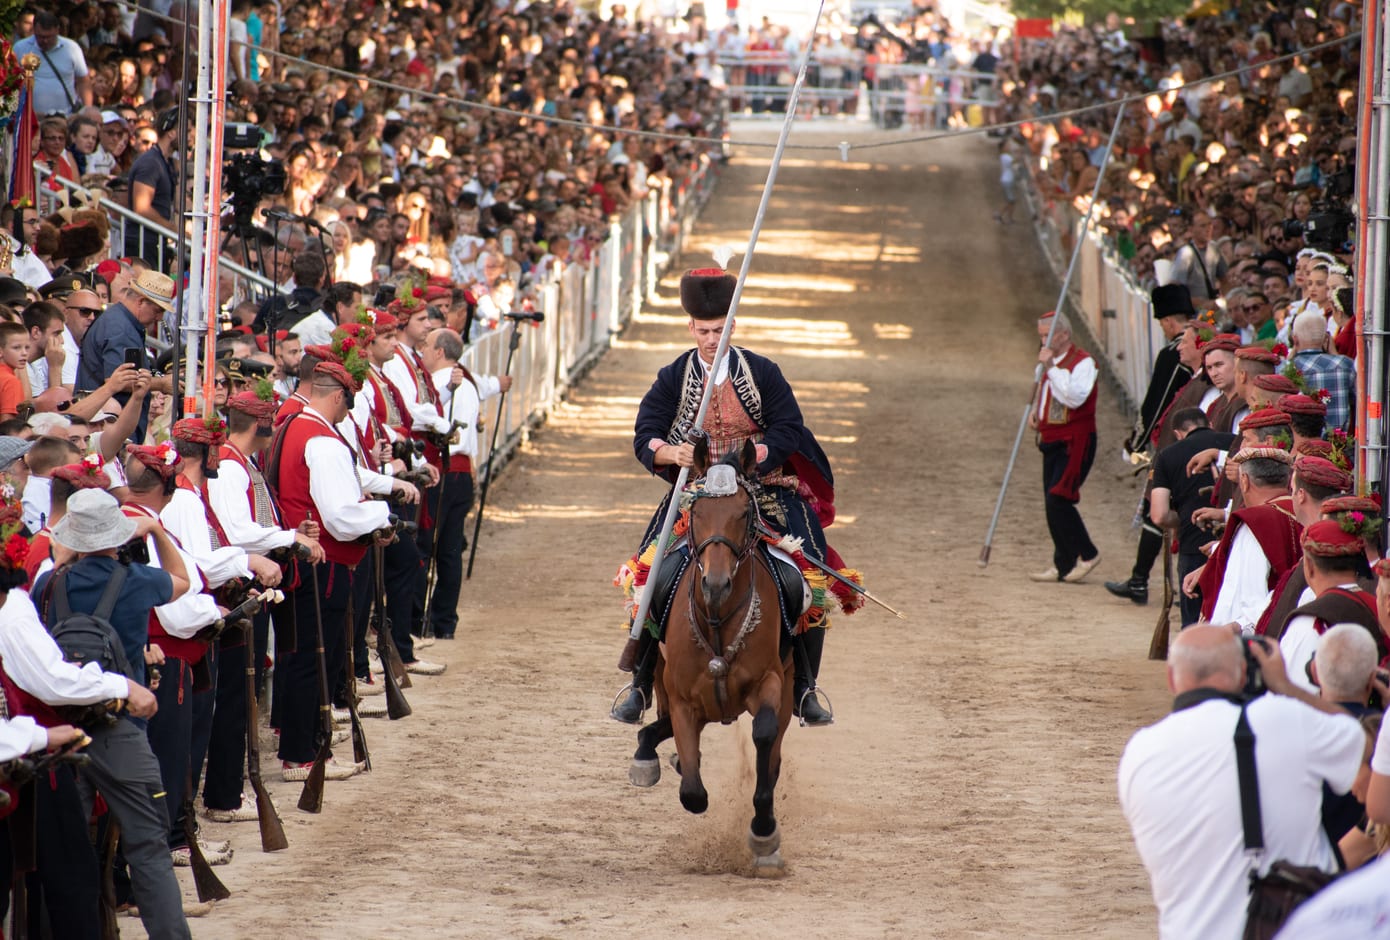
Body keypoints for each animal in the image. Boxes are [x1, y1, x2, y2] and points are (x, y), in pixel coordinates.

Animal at [631, 439, 795, 873]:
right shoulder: (683, 701)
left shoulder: (770, 683)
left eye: (743, 512)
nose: (716, 585)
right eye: (697, 512)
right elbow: (692, 792)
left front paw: (764, 832)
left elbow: (764, 737)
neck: (718, 620)